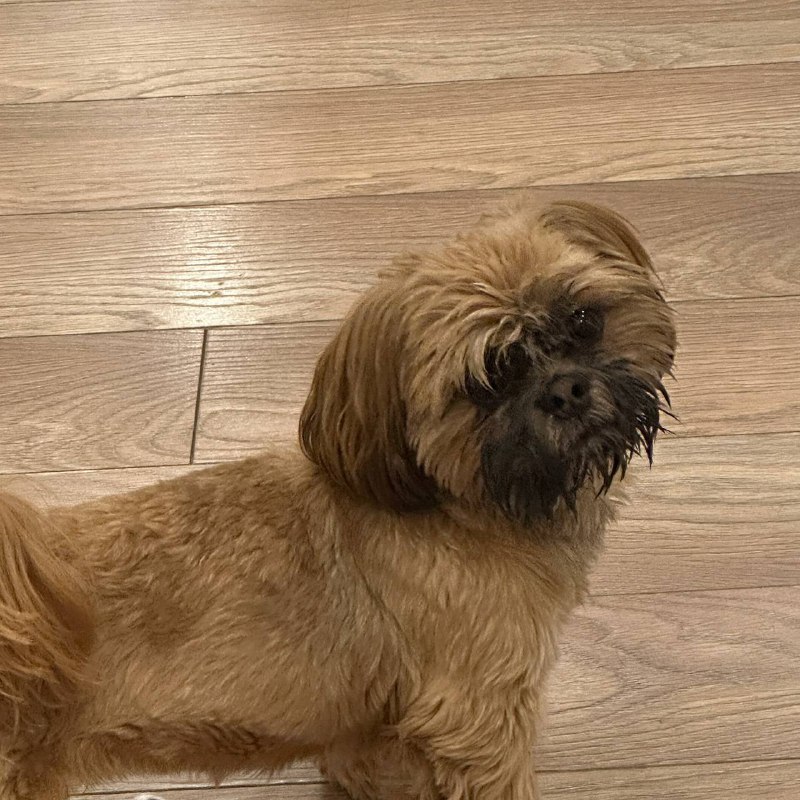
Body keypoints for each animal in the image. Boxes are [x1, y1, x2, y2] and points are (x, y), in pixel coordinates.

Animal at [0, 196, 675, 799]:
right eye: (487, 379)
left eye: (584, 320)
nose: (564, 391)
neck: (460, 505)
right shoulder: (479, 715)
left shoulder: (375, 724)